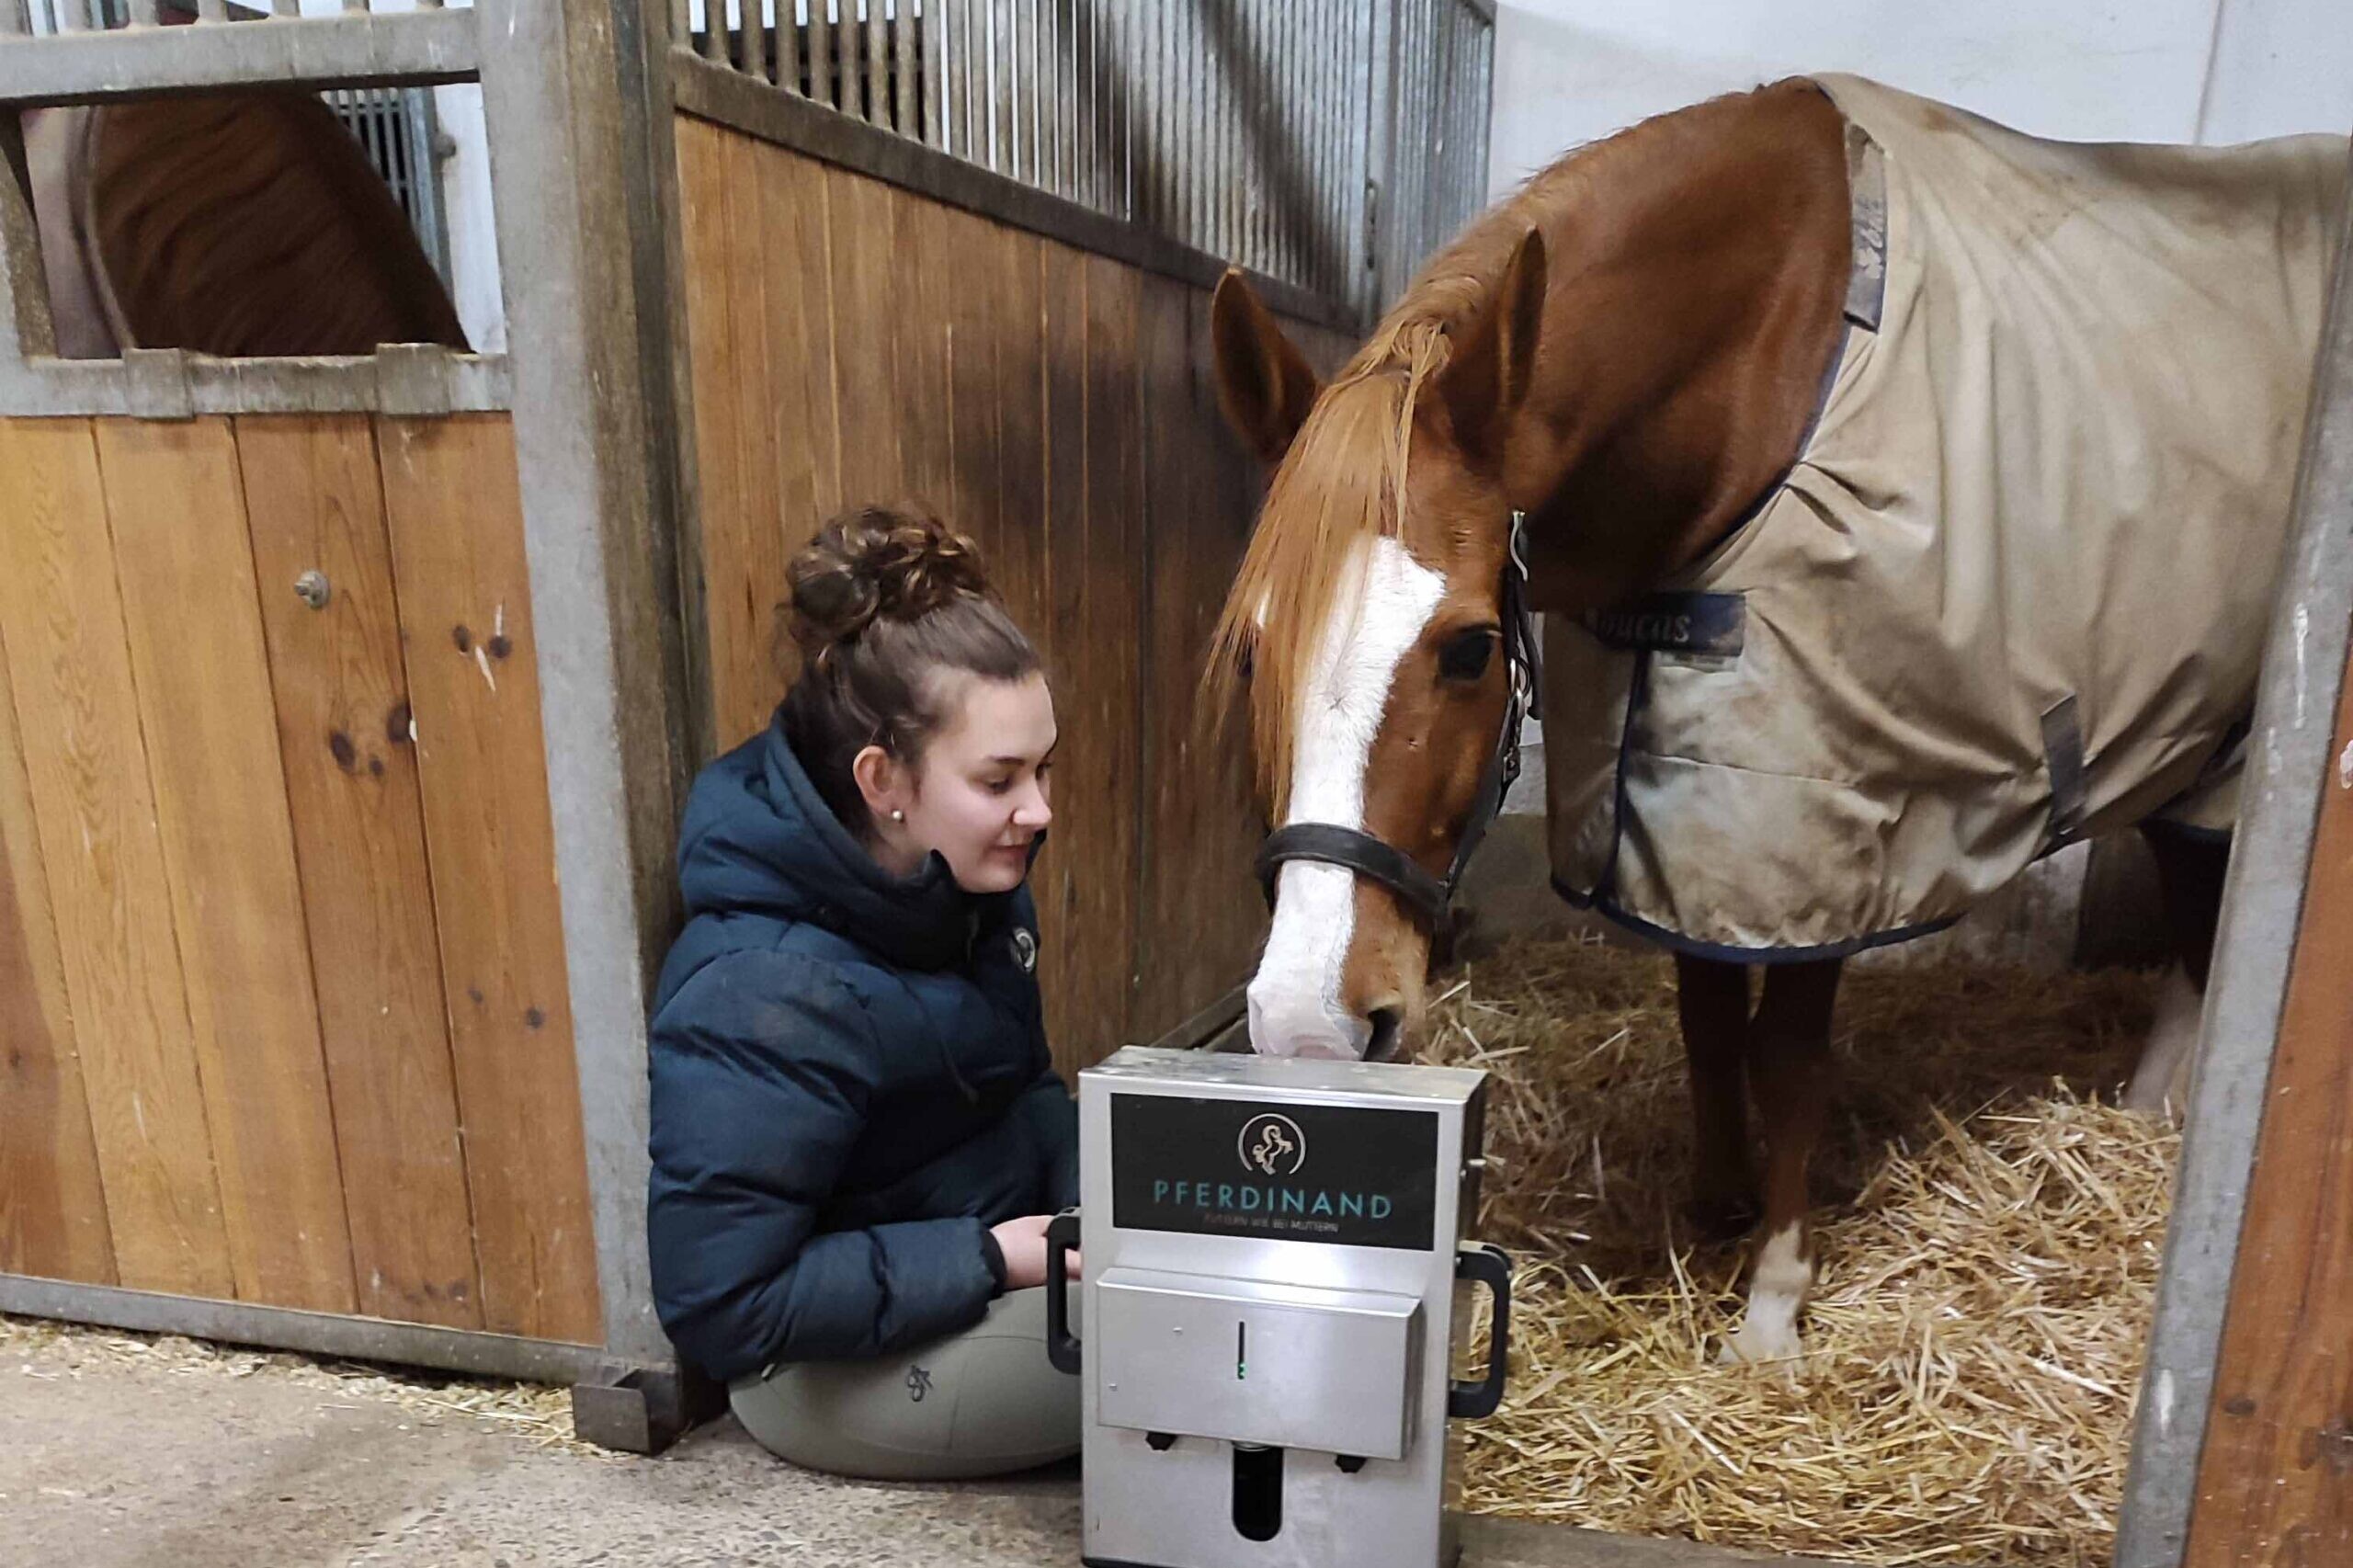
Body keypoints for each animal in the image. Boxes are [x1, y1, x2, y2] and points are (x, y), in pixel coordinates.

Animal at [1204, 73, 2343, 1356]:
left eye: (1469, 646)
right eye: (1250, 650)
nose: (1305, 1025)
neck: (1768, 362)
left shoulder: (1829, 827)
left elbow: (1787, 1055)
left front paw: (1774, 1299)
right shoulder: (1678, 805)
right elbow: (1707, 1015)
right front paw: (1717, 1203)